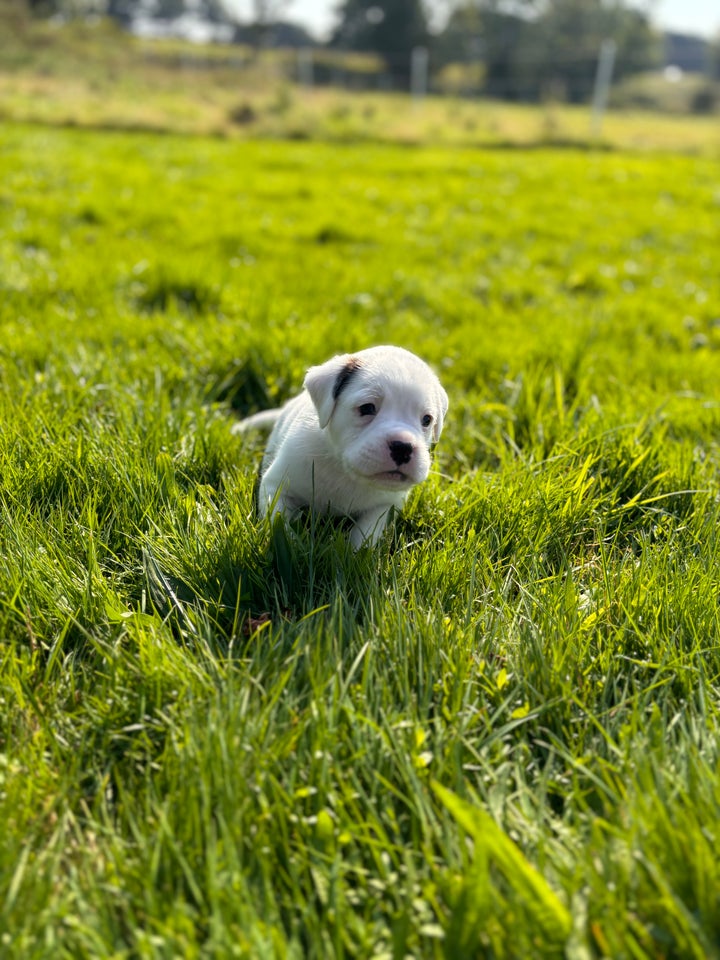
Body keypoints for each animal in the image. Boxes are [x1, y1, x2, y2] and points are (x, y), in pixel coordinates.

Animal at [236, 344, 448, 548]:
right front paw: (291, 547)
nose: (403, 448)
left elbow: (366, 532)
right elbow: (280, 522)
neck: (344, 471)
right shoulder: (276, 487)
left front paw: (356, 553)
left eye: (427, 420)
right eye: (367, 408)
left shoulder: (385, 505)